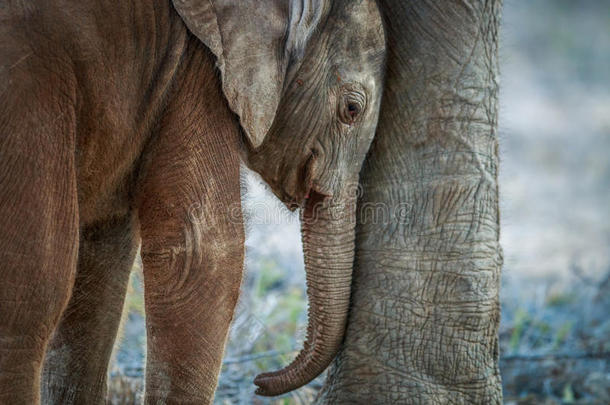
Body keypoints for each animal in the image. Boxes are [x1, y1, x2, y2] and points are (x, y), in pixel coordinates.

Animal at [0, 0, 382, 400]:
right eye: (351, 110)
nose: (259, 382)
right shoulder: (199, 73)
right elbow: (203, 254)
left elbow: (101, 271)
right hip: (28, 92)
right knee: (32, 290)